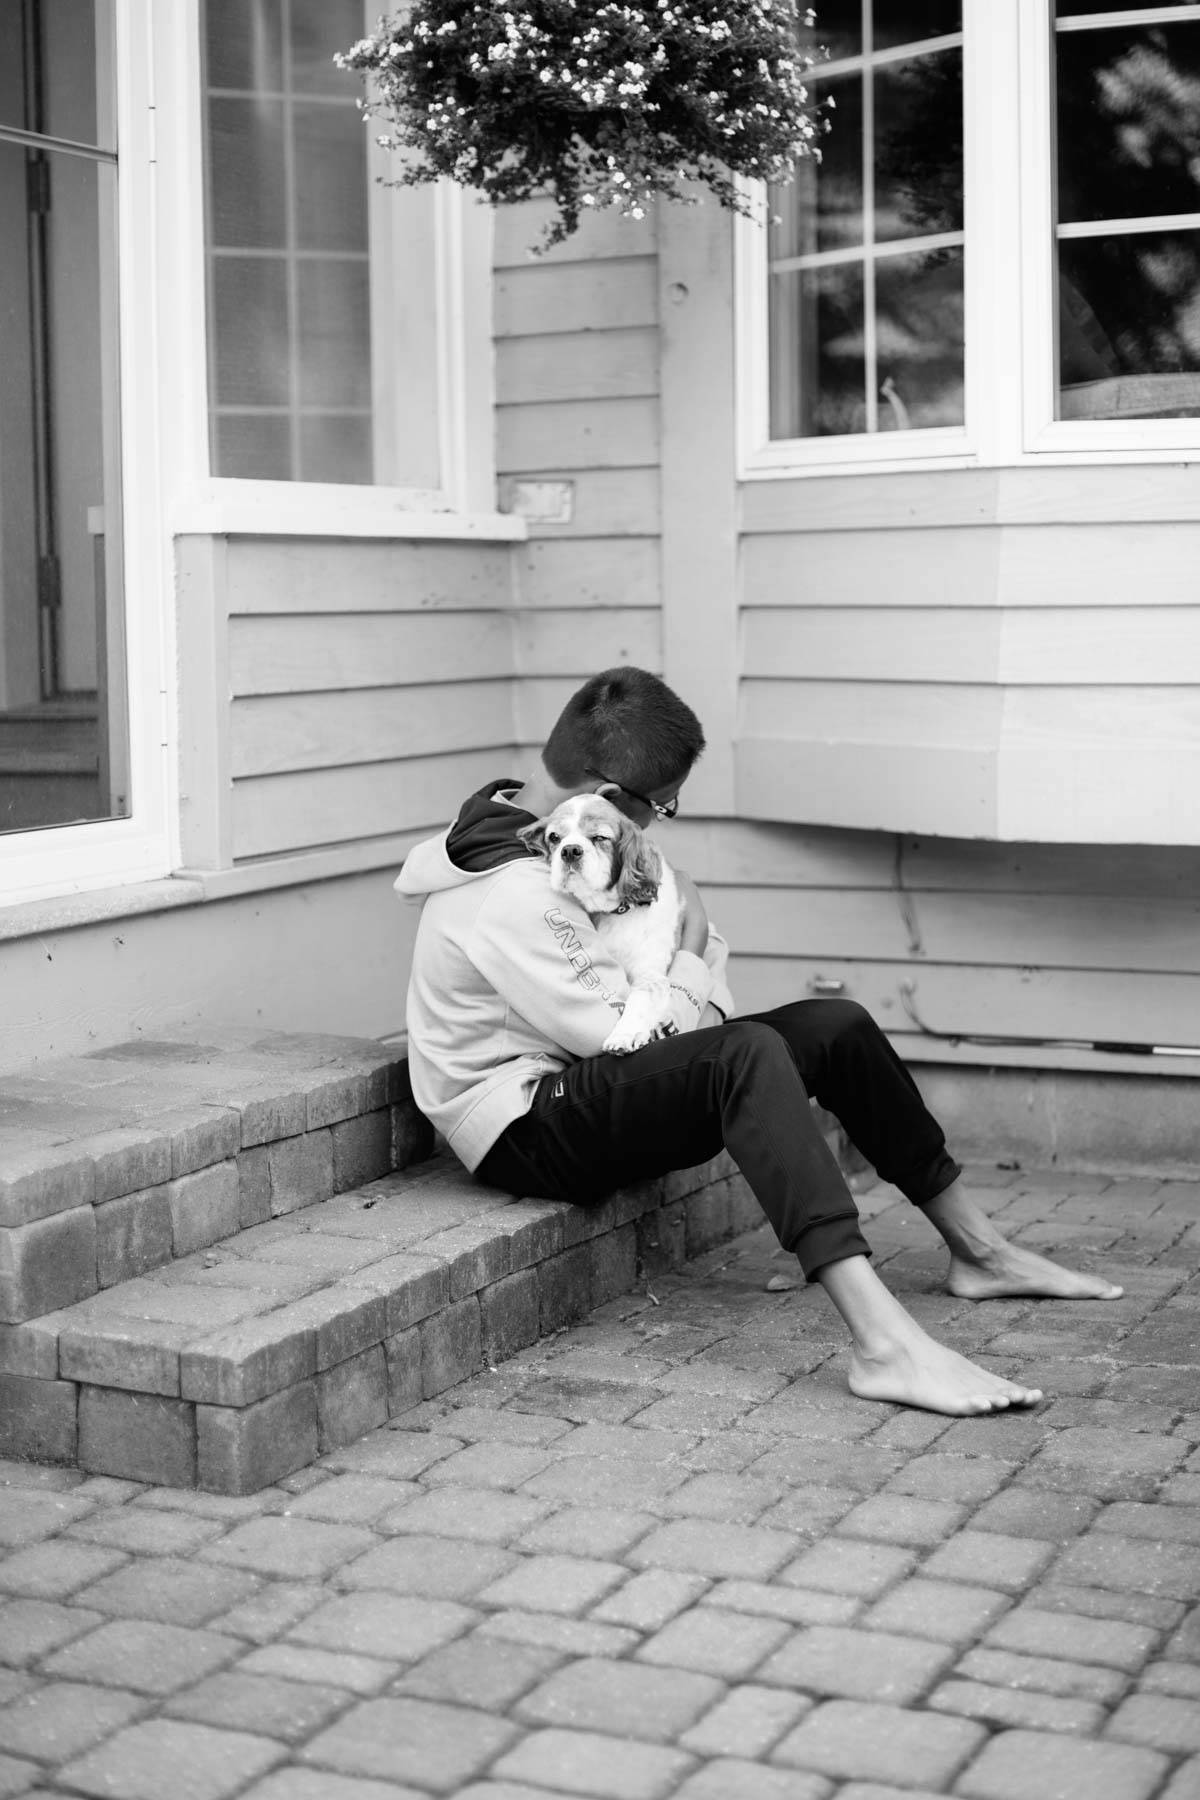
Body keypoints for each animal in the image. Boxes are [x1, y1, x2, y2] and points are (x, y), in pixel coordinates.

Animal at [518, 792, 680, 1051]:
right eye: (554, 837)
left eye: (599, 837)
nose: (570, 850)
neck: (611, 911)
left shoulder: (651, 974)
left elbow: (640, 1001)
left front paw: (624, 1035)